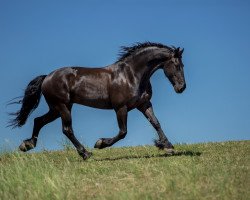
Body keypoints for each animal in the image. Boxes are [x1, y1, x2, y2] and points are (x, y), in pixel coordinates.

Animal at [8, 41, 186, 159]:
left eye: (182, 65)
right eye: (177, 65)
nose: (182, 88)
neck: (132, 75)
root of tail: (47, 77)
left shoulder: (143, 104)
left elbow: (156, 123)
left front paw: (167, 146)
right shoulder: (120, 108)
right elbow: (123, 132)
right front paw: (100, 143)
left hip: (57, 108)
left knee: (38, 120)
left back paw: (27, 145)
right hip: (62, 106)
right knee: (67, 129)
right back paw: (86, 153)